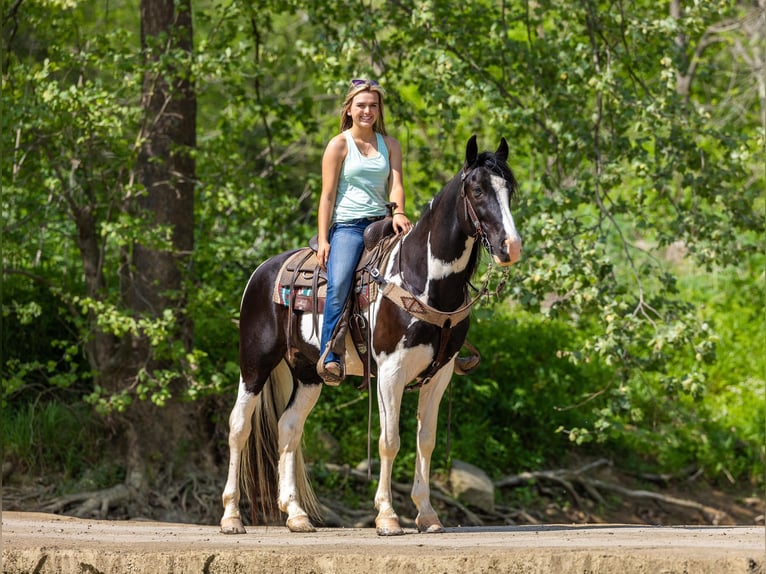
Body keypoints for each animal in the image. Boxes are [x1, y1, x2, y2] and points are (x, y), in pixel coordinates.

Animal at [219, 136, 524, 540]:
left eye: (510, 190)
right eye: (477, 190)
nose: (511, 247)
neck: (423, 279)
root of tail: (262, 271)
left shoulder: (440, 375)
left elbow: (425, 441)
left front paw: (427, 515)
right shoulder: (390, 372)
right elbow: (389, 441)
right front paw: (388, 517)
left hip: (309, 374)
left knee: (288, 428)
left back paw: (296, 515)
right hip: (254, 364)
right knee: (240, 427)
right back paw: (231, 516)